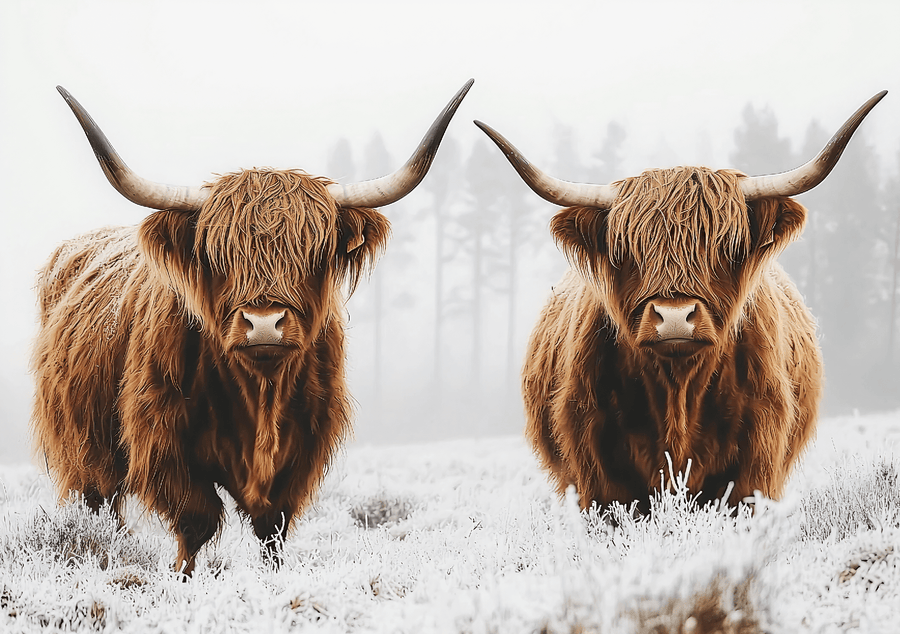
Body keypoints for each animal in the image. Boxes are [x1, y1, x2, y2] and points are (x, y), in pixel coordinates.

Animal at [32, 80, 473, 575]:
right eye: (217, 255)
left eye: (314, 251)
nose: (264, 324)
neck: (260, 394)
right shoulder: (162, 440)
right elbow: (196, 519)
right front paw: (183, 578)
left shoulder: (303, 447)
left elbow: (272, 528)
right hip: (82, 448)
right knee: (97, 504)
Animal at [475, 91, 886, 513]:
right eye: (626, 251)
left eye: (727, 246)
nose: (674, 317)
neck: (677, 392)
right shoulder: (598, 474)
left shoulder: (753, 469)